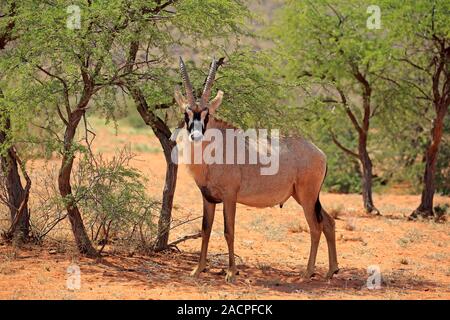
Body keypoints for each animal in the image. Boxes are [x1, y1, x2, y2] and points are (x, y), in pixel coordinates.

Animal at [174, 57, 340, 282]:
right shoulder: (208, 198)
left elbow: (228, 231)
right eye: (187, 113)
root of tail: (320, 153)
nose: (196, 136)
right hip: (304, 196)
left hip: (307, 196)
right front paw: (197, 269)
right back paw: (332, 270)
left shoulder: (230, 196)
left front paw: (231, 272)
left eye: (207, 114)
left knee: (315, 227)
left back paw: (307, 273)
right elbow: (205, 230)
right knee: (328, 222)